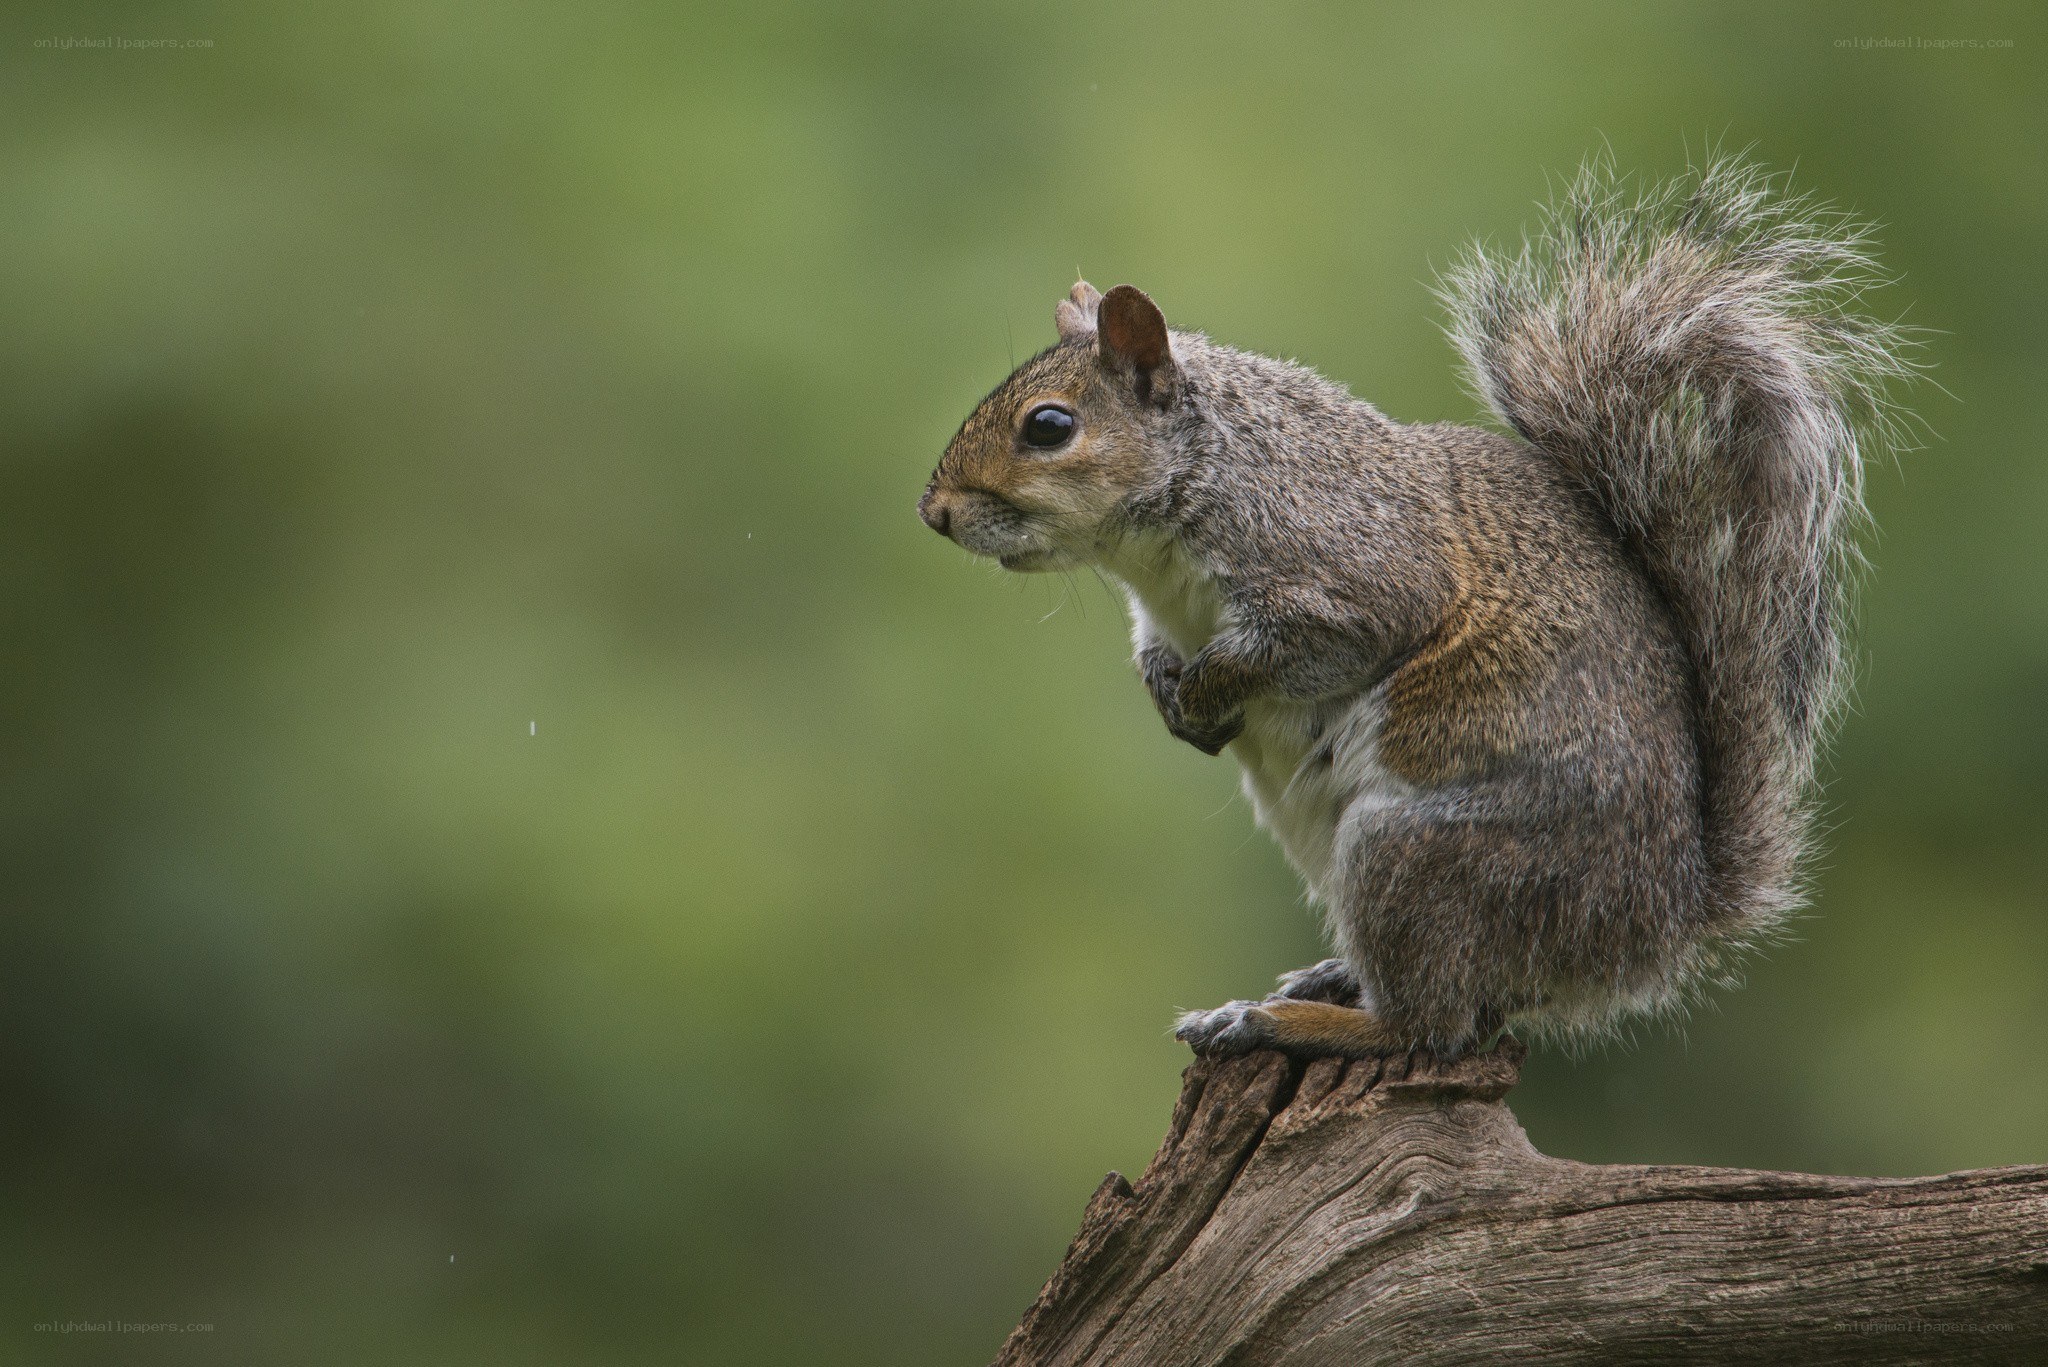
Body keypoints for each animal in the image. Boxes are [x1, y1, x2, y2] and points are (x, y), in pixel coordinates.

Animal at [917, 157, 1913, 1059]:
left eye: (1049, 426)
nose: (934, 512)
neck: (1169, 534)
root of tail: (1650, 933)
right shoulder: (1160, 613)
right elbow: (1153, 652)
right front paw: (1173, 696)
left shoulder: (1351, 568)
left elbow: (1308, 644)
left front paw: (1206, 690)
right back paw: (1324, 979)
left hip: (1417, 856)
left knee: (1429, 1027)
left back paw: (1286, 1021)